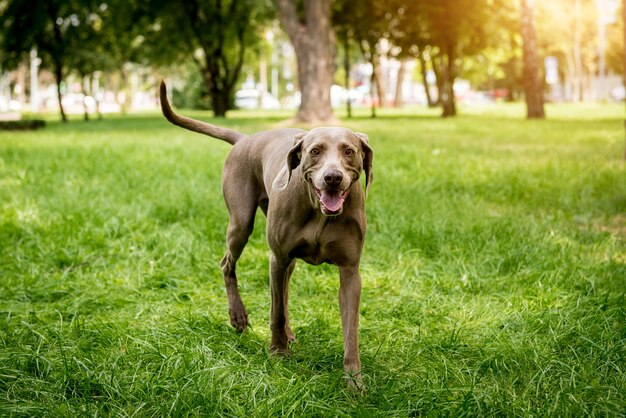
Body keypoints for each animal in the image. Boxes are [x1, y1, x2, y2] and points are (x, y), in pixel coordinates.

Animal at [160, 81, 370, 388]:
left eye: (349, 151)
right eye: (315, 151)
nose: (333, 178)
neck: (319, 212)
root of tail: (246, 139)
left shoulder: (350, 272)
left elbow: (351, 330)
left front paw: (354, 380)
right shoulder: (277, 257)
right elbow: (276, 312)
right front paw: (278, 352)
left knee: (283, 288)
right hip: (241, 223)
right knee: (228, 264)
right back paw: (238, 316)